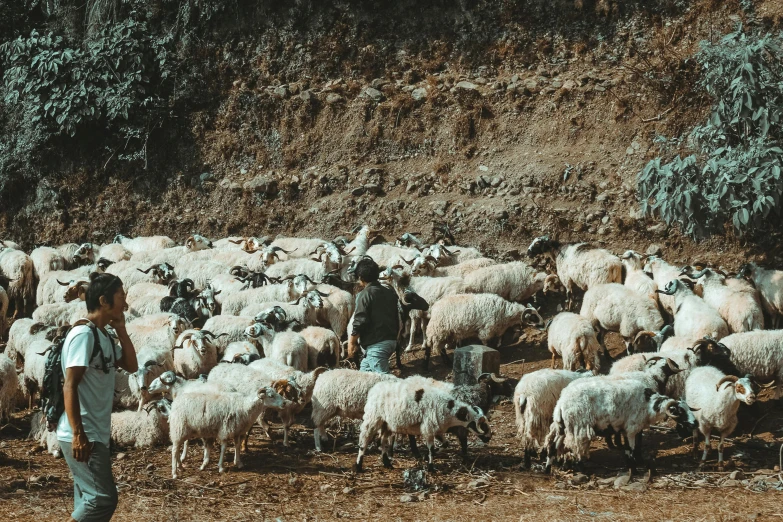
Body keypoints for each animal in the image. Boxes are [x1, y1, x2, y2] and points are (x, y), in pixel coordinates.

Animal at [356, 374, 490, 472]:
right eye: (477, 424)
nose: (489, 437)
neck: (448, 409)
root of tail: (375, 388)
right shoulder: (428, 427)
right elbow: (431, 448)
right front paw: (431, 467)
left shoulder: (436, 428)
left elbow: (444, 444)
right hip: (373, 418)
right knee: (364, 440)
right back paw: (359, 466)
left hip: (386, 423)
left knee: (384, 440)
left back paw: (387, 463)